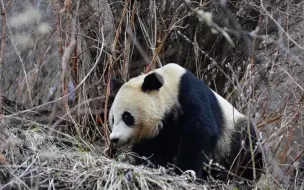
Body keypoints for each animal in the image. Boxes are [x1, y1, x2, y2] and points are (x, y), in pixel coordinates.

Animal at [107, 63, 264, 183]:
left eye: (127, 117)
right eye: (113, 119)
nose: (114, 139)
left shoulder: (188, 93)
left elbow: (200, 132)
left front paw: (185, 172)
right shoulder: (159, 131)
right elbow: (150, 148)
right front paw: (151, 164)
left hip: (233, 134)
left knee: (247, 150)